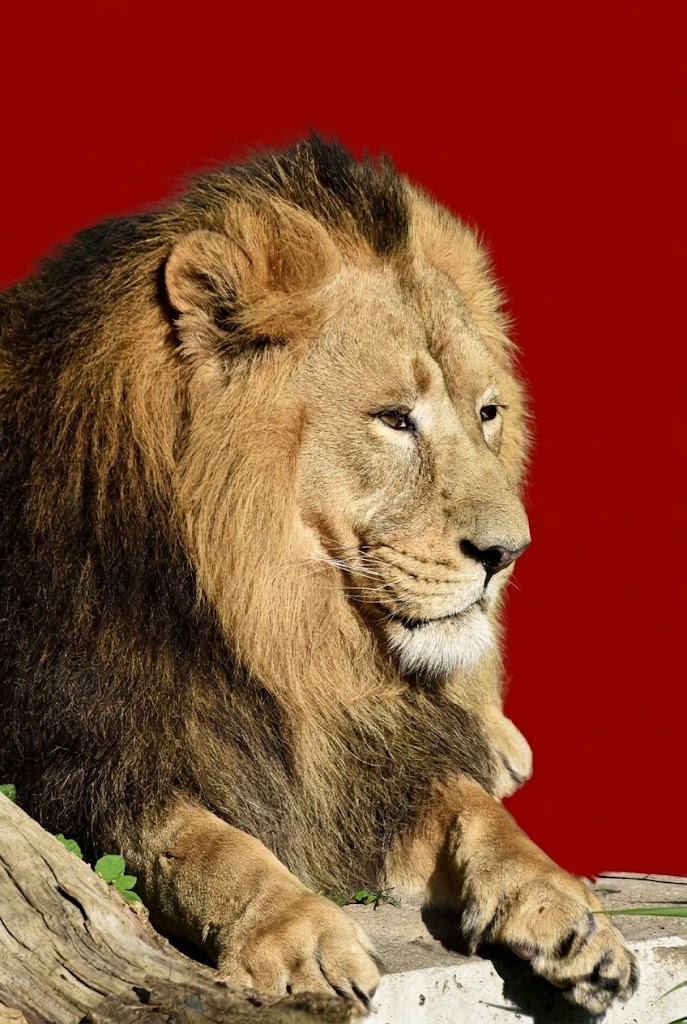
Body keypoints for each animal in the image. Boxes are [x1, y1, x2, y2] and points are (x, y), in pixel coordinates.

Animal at [0, 136, 636, 1015]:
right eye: (394, 419)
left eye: (487, 413)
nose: (509, 554)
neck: (283, 632)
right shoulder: (76, 756)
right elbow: (203, 842)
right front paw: (301, 935)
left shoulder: (376, 756)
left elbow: (476, 811)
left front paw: (565, 912)